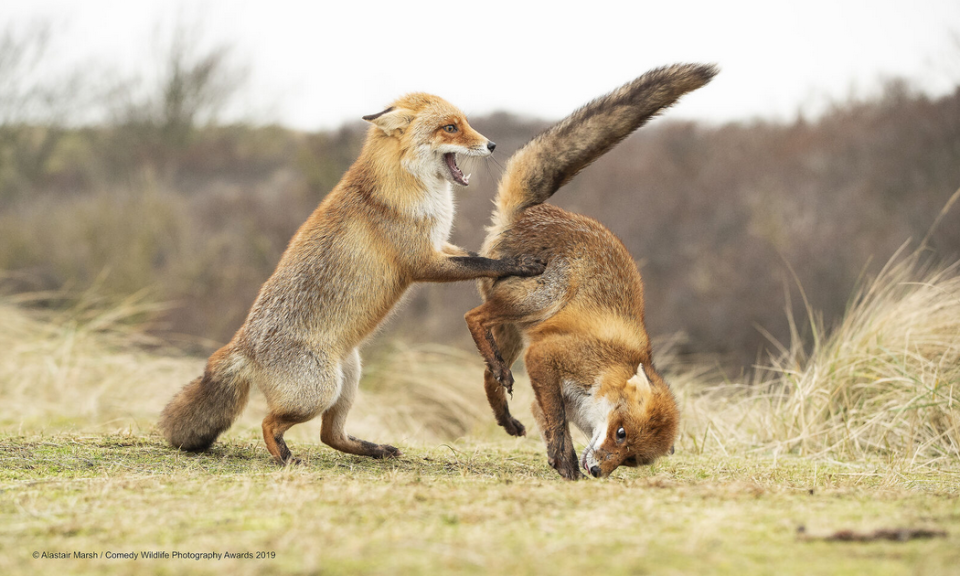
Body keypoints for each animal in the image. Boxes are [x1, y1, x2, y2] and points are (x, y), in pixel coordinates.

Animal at [160, 93, 544, 464]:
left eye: (464, 123)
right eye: (450, 127)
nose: (491, 144)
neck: (410, 188)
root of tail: (242, 344)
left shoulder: (439, 246)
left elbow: (475, 255)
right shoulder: (422, 262)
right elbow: (482, 262)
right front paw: (519, 263)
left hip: (349, 379)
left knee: (329, 435)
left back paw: (375, 450)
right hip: (317, 393)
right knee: (269, 423)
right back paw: (285, 458)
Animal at [464, 63, 720, 480]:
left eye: (630, 458)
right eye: (620, 433)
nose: (599, 471)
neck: (609, 369)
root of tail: (532, 211)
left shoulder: (545, 384)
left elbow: (546, 418)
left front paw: (560, 459)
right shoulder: (546, 356)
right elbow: (556, 419)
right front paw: (567, 462)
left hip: (515, 331)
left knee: (488, 373)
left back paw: (505, 415)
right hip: (538, 300)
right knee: (473, 317)